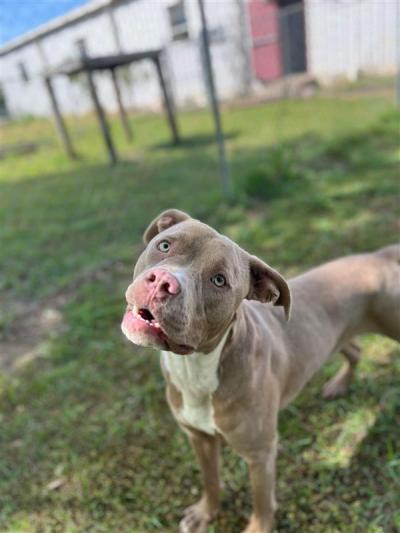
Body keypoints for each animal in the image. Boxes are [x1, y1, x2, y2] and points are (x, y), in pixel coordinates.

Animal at [120, 209, 398, 532]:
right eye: (164, 245)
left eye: (219, 280)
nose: (163, 282)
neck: (197, 368)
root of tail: (381, 255)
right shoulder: (199, 438)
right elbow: (211, 480)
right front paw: (205, 513)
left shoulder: (260, 453)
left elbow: (262, 502)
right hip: (335, 335)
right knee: (354, 350)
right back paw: (339, 385)